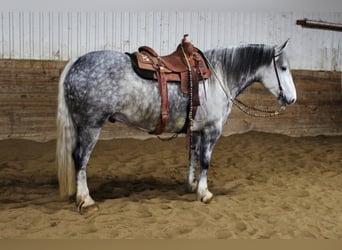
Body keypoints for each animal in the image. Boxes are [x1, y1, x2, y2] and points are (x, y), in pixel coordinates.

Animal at [56, 40, 296, 214]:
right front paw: (204, 193)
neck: (219, 76)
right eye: (283, 67)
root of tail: (76, 62)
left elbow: (193, 157)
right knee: (80, 158)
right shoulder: (212, 130)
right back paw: (86, 200)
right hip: (91, 126)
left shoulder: (196, 130)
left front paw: (191, 185)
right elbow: (205, 161)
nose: (292, 99)